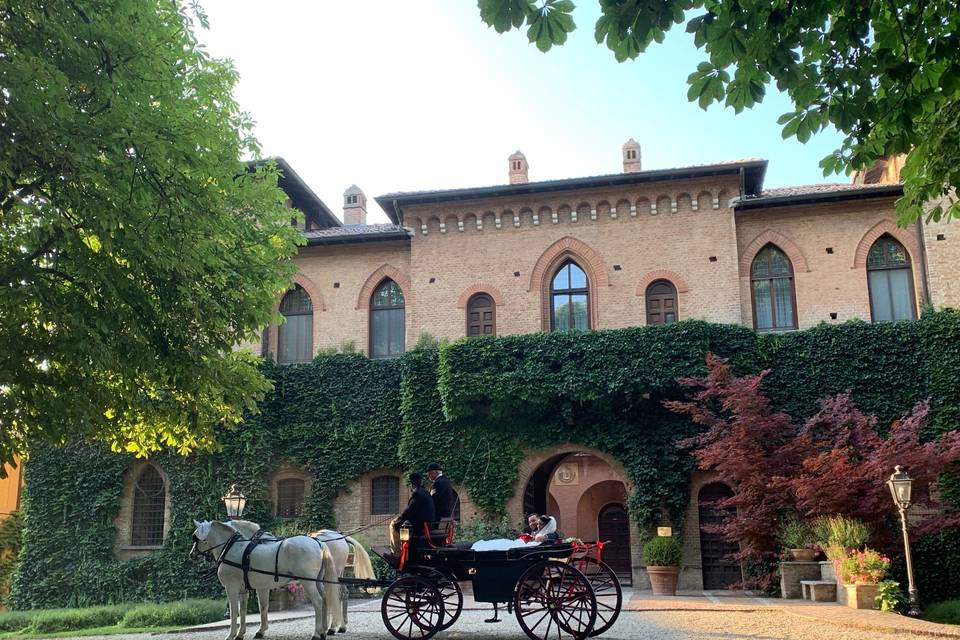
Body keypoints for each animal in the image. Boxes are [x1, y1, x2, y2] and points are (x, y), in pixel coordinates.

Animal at [191, 520, 342, 640]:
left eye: (195, 537)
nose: (192, 554)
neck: (233, 548)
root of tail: (317, 542)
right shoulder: (245, 590)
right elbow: (246, 609)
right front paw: (242, 634)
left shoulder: (231, 588)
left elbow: (234, 612)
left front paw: (231, 635)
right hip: (318, 581)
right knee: (325, 598)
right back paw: (323, 632)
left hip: (308, 582)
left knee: (318, 601)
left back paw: (316, 633)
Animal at [226, 520, 376, 636]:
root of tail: (339, 536)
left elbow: (262, 605)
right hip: (337, 574)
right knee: (342, 593)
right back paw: (340, 626)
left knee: (335, 595)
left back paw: (332, 627)